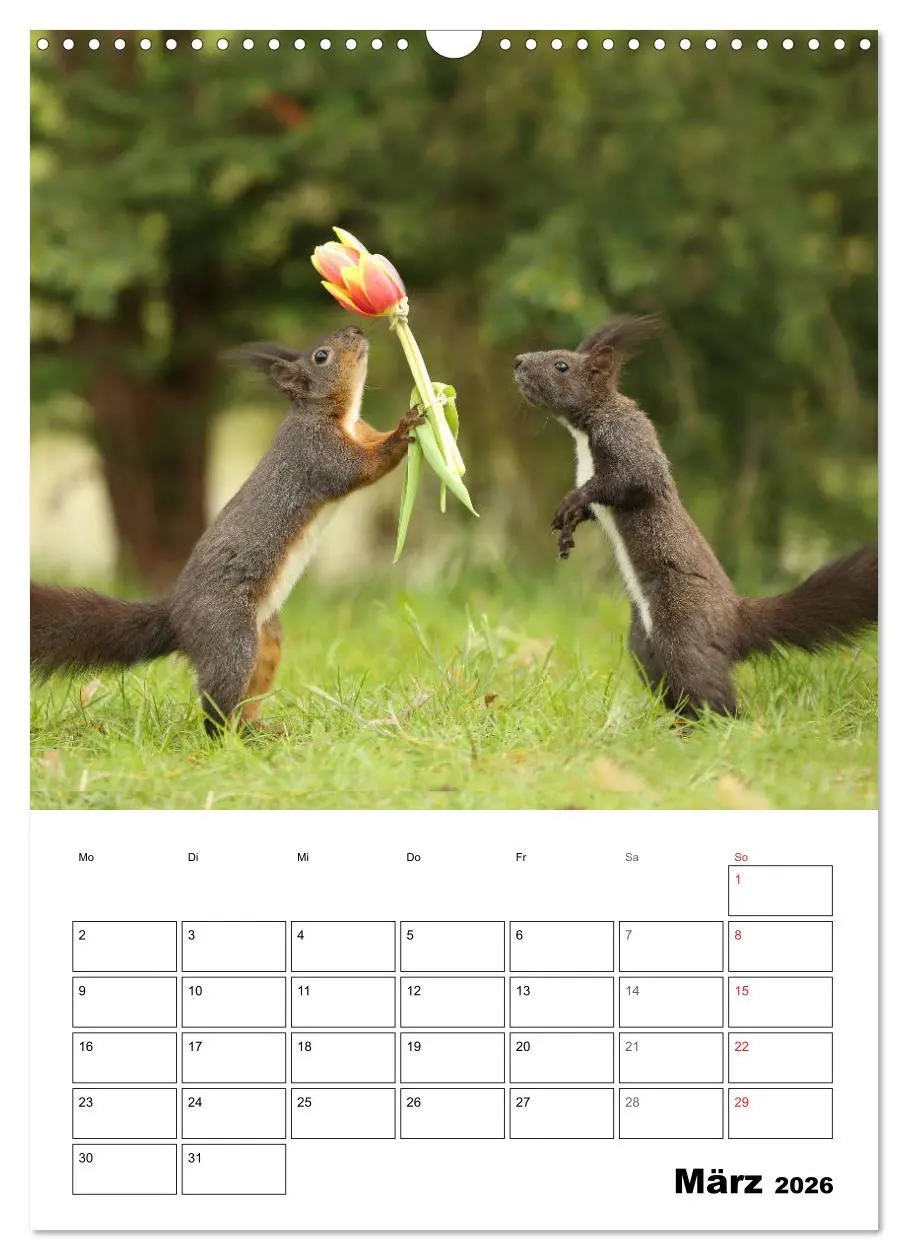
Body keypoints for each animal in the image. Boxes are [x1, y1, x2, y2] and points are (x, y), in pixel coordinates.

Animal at [31, 324, 423, 734]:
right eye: (322, 356)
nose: (356, 329)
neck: (338, 415)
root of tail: (178, 617)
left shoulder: (360, 431)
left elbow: (373, 442)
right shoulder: (320, 454)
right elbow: (365, 467)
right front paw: (405, 429)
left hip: (267, 639)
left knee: (246, 697)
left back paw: (258, 730)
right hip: (231, 638)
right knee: (218, 705)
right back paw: (226, 736)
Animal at [513, 315, 878, 717]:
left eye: (561, 365)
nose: (517, 361)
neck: (584, 431)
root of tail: (734, 620)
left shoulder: (628, 440)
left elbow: (630, 479)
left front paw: (571, 503)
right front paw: (569, 526)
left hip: (682, 631)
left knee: (707, 688)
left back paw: (726, 723)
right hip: (644, 646)